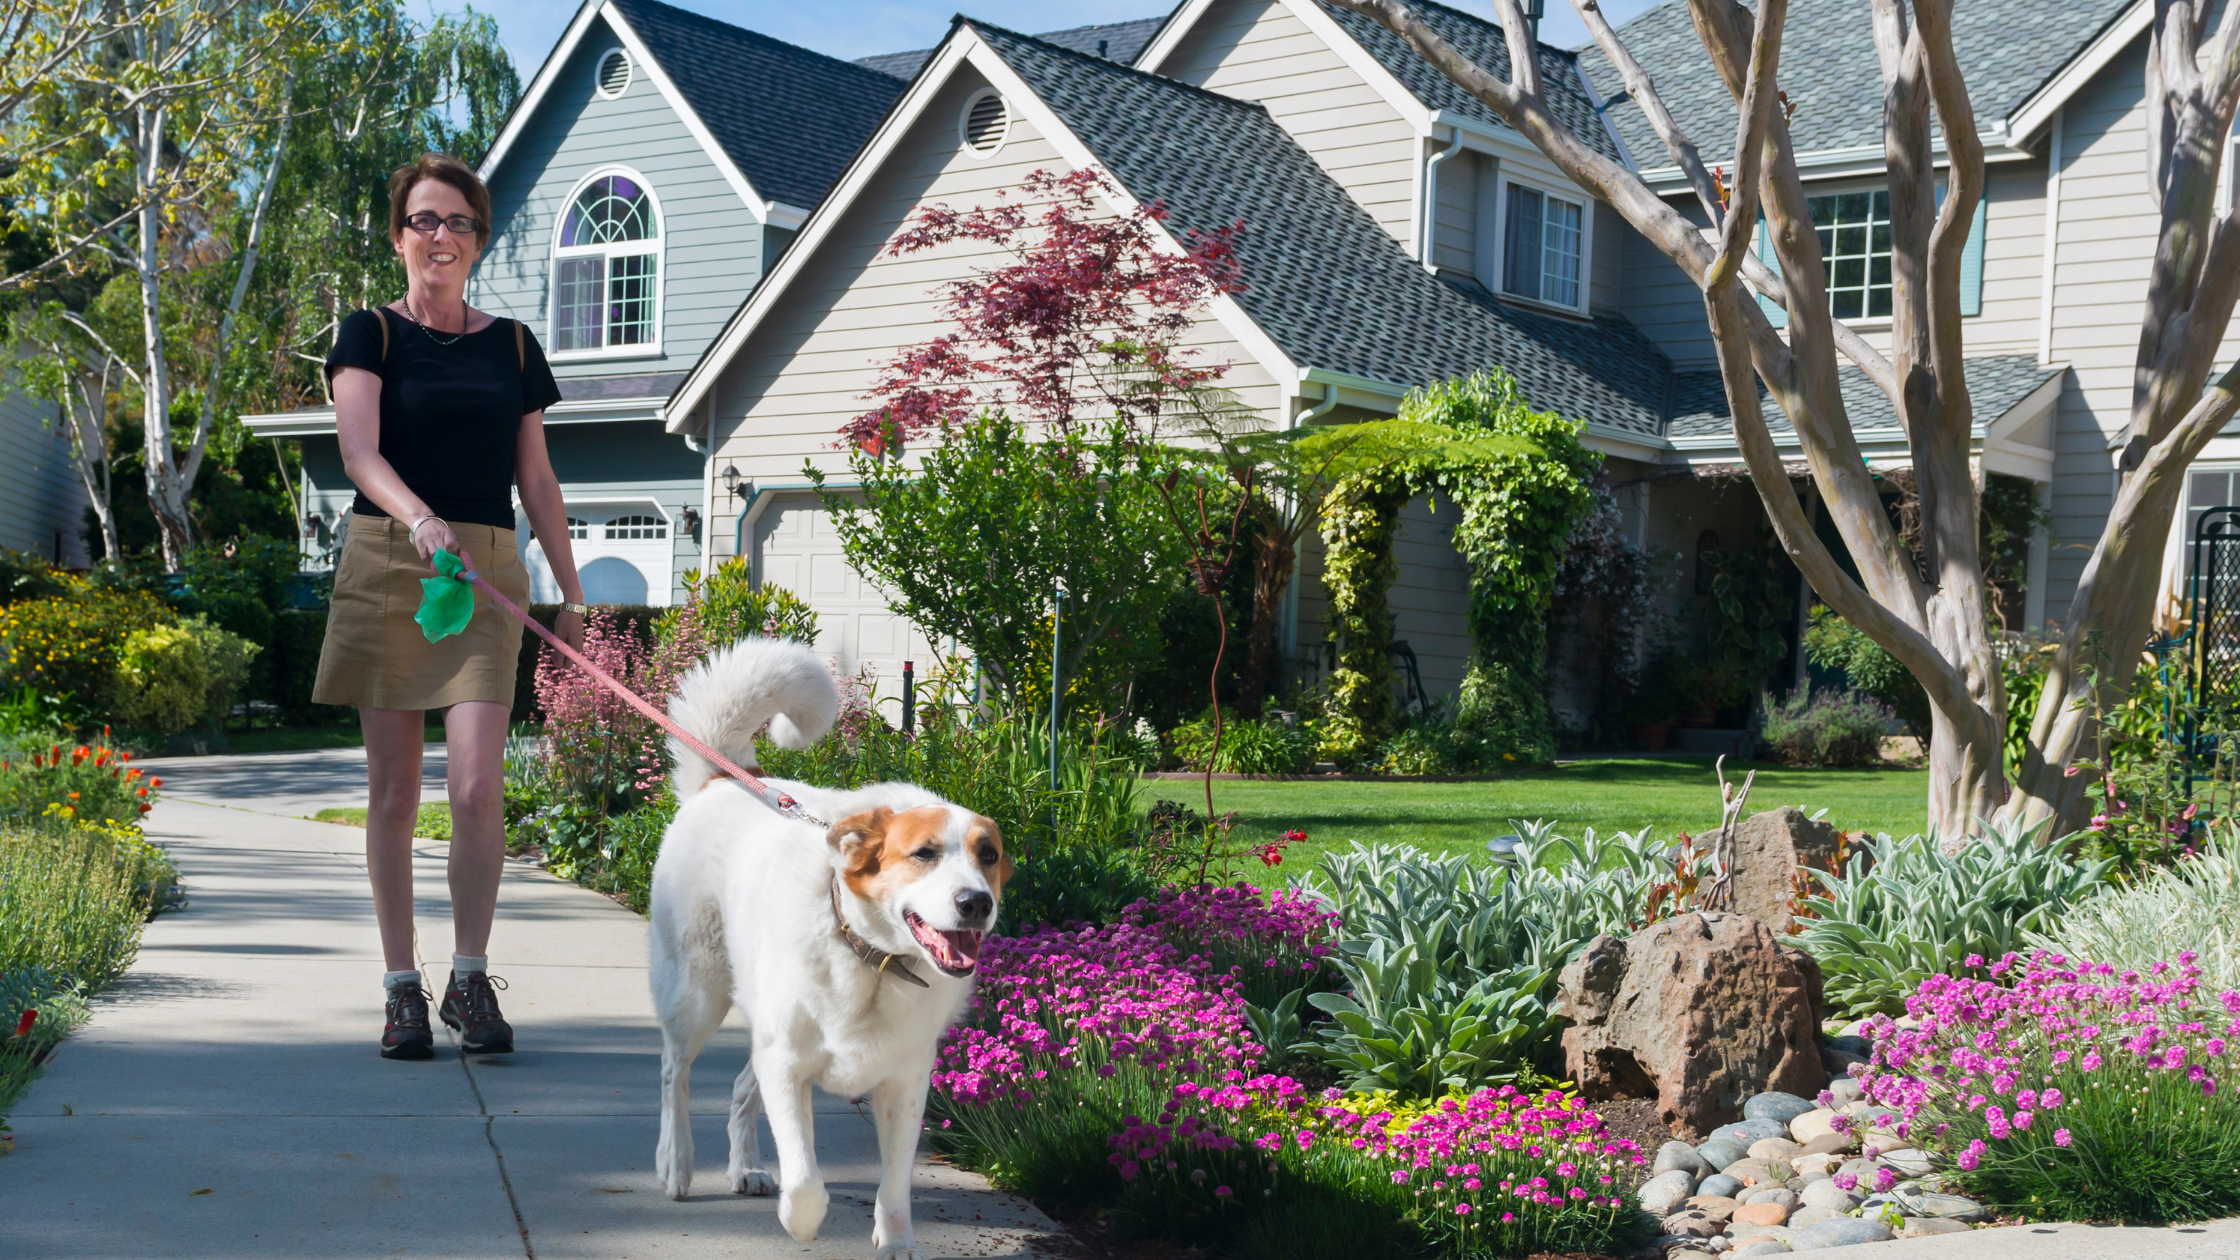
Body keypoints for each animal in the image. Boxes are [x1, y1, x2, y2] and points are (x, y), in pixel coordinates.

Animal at [645, 636, 1003, 1255]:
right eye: (924, 853)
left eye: (989, 856)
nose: (976, 902)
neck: (872, 960)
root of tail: (725, 778)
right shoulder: (788, 1066)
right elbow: (807, 1176)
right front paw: (802, 1221)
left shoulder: (905, 1081)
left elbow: (895, 1181)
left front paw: (897, 1241)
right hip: (697, 994)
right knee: (675, 1074)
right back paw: (676, 1162)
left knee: (740, 1089)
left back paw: (746, 1167)